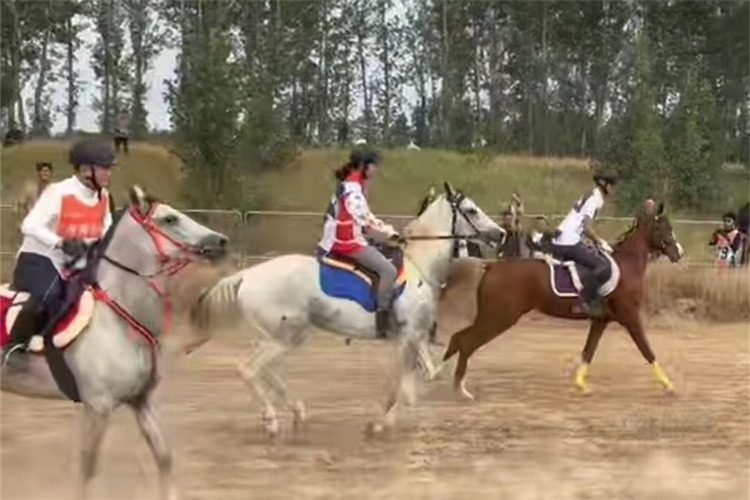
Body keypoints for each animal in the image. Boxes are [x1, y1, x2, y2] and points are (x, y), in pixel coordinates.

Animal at [1, 186, 228, 499]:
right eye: (170, 219)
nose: (221, 241)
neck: (120, 318)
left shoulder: (141, 400)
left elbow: (164, 457)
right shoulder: (98, 407)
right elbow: (88, 470)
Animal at [194, 183, 504, 435]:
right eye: (471, 210)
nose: (500, 234)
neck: (419, 266)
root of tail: (246, 276)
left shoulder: (408, 339)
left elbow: (413, 380)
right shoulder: (409, 337)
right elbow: (402, 385)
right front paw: (382, 422)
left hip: (281, 337)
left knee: (269, 373)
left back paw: (297, 411)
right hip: (281, 338)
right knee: (249, 369)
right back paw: (271, 420)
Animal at [442, 204, 684, 400]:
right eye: (664, 228)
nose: (679, 253)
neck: (625, 266)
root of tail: (492, 266)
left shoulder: (601, 321)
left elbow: (588, 352)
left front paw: (580, 385)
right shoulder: (630, 317)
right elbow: (647, 350)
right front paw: (669, 385)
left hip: (491, 316)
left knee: (457, 339)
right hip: (500, 318)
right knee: (466, 342)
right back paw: (460, 390)